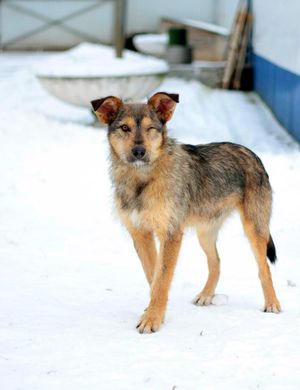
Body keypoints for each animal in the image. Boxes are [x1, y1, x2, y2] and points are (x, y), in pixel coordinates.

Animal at [90, 93, 280, 334]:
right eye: (125, 128)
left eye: (150, 128)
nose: (139, 152)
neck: (142, 180)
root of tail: (251, 153)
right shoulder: (140, 234)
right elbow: (153, 276)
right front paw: (152, 312)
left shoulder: (171, 234)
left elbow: (162, 279)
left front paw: (152, 319)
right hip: (205, 232)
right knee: (216, 262)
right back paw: (206, 295)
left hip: (254, 229)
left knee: (264, 268)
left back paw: (272, 304)